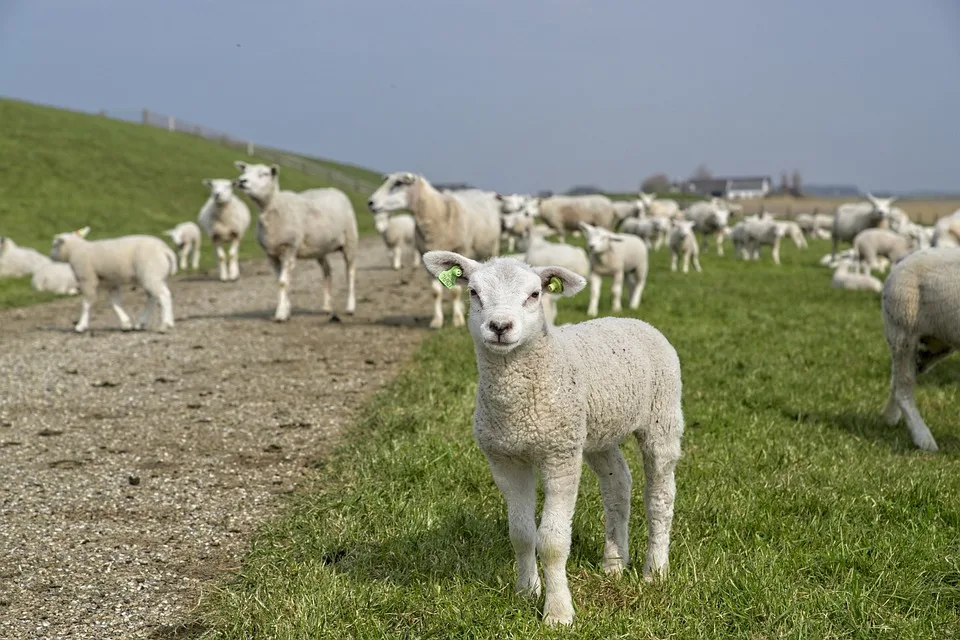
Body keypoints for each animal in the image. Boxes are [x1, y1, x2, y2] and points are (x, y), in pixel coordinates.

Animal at [48, 226, 177, 336]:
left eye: (54, 245)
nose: (50, 256)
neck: (76, 250)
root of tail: (165, 250)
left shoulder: (87, 279)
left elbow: (86, 303)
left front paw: (80, 326)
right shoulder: (111, 282)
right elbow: (115, 303)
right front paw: (126, 324)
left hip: (151, 273)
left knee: (163, 295)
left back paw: (164, 325)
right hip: (156, 276)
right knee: (155, 297)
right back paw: (146, 323)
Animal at [236, 162, 360, 320]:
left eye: (264, 174)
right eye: (245, 171)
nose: (241, 181)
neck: (274, 207)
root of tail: (334, 190)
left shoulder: (289, 247)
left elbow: (283, 282)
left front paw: (281, 314)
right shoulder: (271, 254)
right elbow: (280, 281)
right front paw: (286, 309)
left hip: (350, 240)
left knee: (350, 272)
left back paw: (350, 307)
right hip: (320, 248)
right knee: (327, 270)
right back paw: (327, 307)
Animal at [370, 171, 502, 330]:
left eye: (398, 183)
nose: (370, 202)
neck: (436, 213)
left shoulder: (460, 251)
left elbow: (455, 291)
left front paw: (457, 320)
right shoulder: (426, 258)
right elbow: (435, 293)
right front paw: (437, 320)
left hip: (492, 246)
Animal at [420, 250, 684, 624]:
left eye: (534, 295)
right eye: (473, 292)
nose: (500, 327)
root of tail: (632, 320)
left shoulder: (559, 458)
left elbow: (552, 542)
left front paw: (558, 612)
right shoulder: (505, 460)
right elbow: (521, 534)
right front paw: (526, 591)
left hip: (662, 415)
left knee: (660, 495)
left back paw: (655, 570)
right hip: (595, 433)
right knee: (618, 484)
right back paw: (614, 563)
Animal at [876, 245, 960, 450]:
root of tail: (904, 259)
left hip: (933, 344)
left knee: (896, 381)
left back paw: (889, 419)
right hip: (902, 329)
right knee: (903, 387)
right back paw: (924, 439)